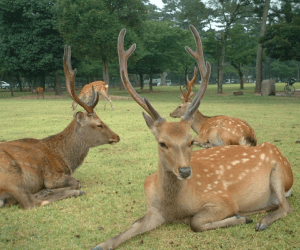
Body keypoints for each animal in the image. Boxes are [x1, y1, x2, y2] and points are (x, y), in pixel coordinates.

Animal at [0, 46, 119, 209]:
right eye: (99, 124)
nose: (117, 136)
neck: (65, 158)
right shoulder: (51, 175)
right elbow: (75, 182)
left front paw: (46, 191)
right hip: (12, 174)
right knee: (30, 202)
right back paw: (67, 193)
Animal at [91, 25, 292, 250]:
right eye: (162, 143)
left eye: (191, 141)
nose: (185, 171)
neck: (174, 207)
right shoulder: (154, 210)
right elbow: (130, 227)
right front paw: (100, 245)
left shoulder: (224, 199)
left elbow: (195, 222)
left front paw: (240, 218)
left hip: (279, 171)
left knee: (286, 206)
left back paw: (260, 221)